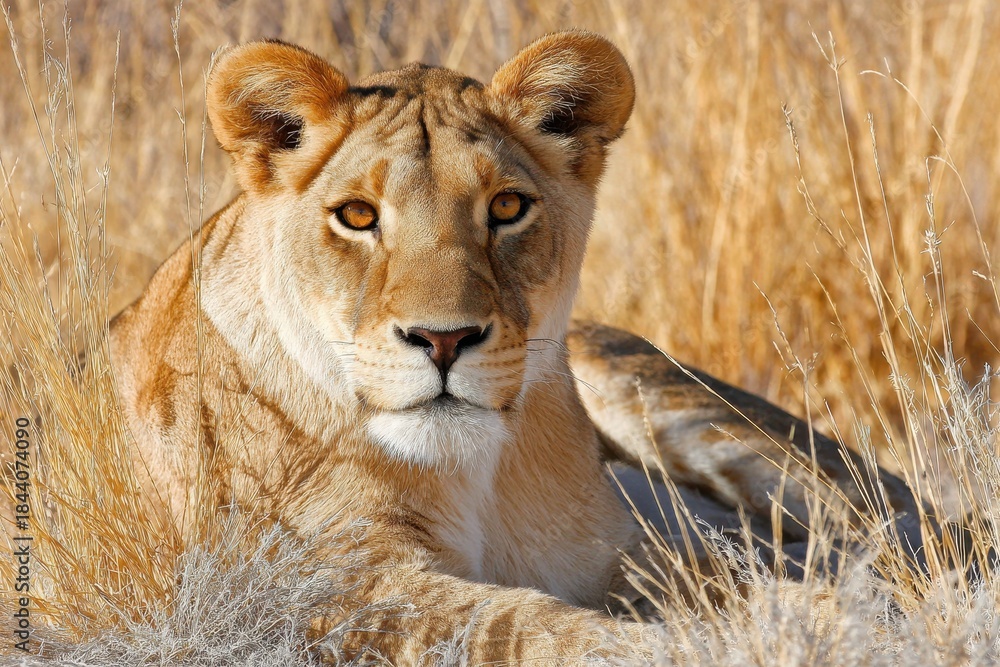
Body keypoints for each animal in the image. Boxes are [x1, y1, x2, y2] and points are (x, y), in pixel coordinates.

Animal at [108, 31, 923, 663]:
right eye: (358, 216)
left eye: (506, 206)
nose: (443, 339)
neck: (471, 472)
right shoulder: (315, 596)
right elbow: (530, 626)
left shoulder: (613, 551)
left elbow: (728, 576)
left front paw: (838, 615)